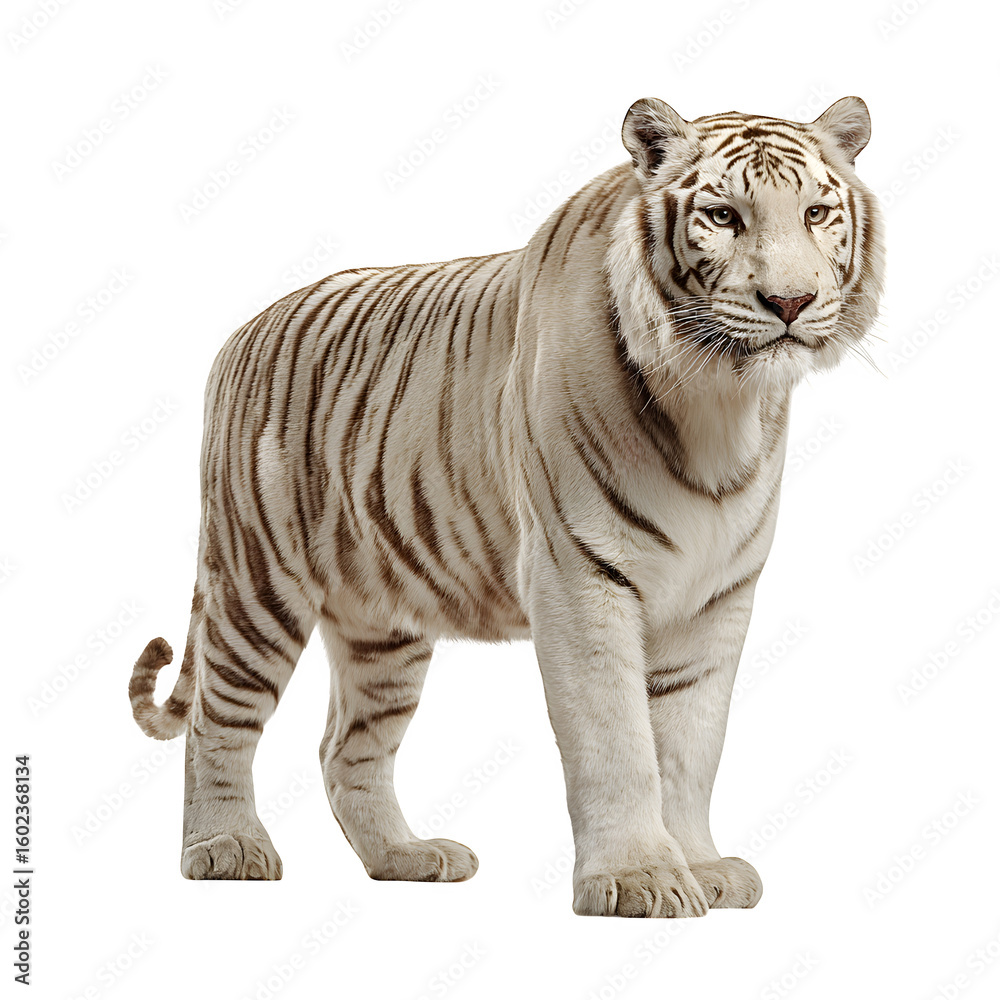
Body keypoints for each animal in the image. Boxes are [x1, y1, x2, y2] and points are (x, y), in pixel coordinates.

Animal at [129, 95, 885, 917]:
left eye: (816, 213)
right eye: (722, 215)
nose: (790, 302)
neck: (718, 401)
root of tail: (241, 332)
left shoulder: (717, 597)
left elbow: (690, 745)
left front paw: (702, 867)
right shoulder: (580, 575)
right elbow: (618, 741)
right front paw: (638, 879)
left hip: (383, 622)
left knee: (345, 748)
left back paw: (407, 857)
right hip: (257, 581)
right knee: (217, 720)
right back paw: (226, 847)